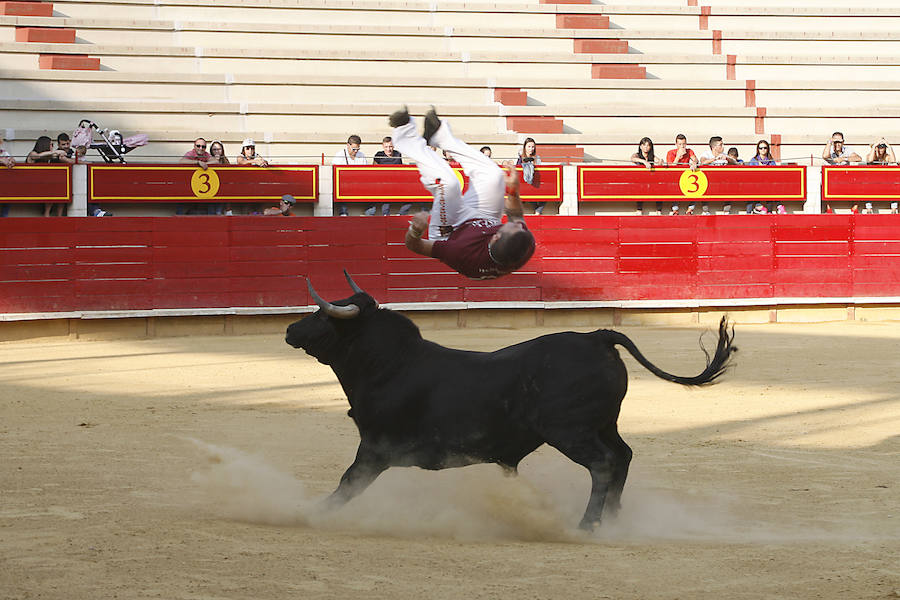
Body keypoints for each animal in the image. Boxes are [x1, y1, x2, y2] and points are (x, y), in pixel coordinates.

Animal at [284, 274, 736, 528]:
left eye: (322, 316)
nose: (290, 330)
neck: (390, 364)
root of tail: (597, 336)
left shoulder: (375, 448)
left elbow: (347, 484)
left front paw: (312, 513)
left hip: (570, 432)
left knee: (605, 464)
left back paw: (587, 524)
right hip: (604, 424)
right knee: (623, 457)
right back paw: (613, 520)